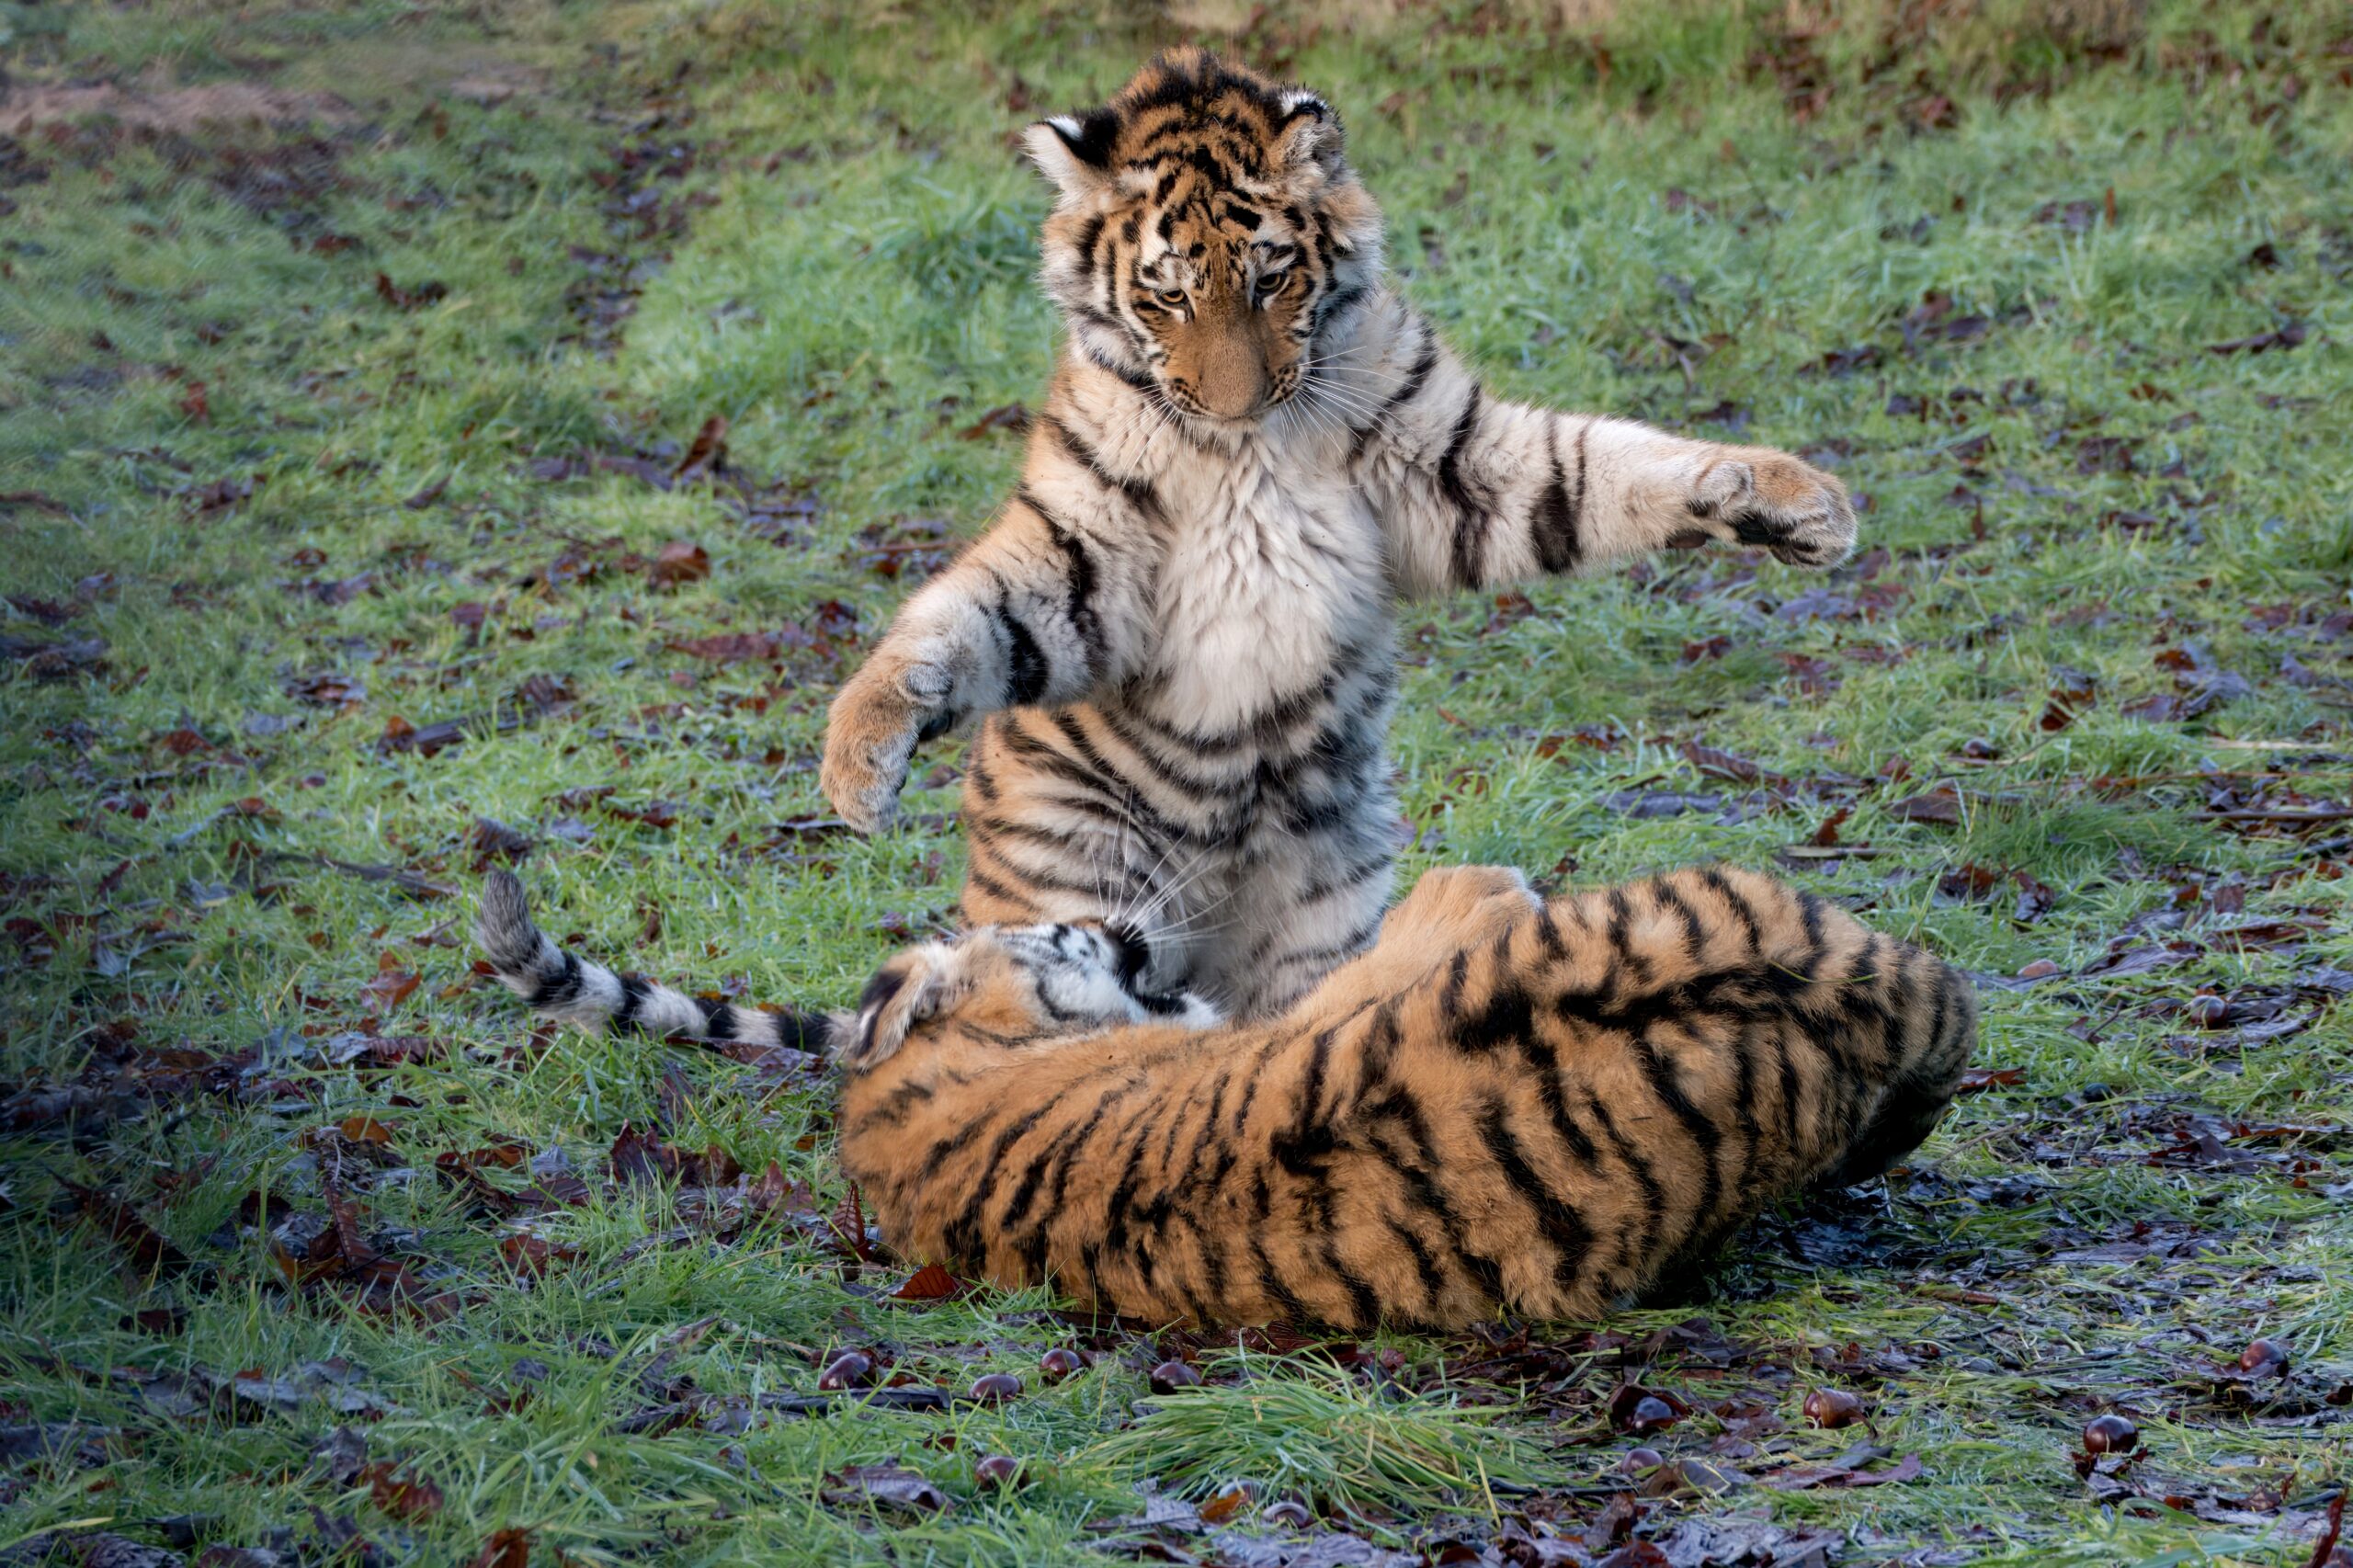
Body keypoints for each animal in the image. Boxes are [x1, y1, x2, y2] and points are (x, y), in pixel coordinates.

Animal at [818, 48, 1860, 1020]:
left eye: (1271, 277)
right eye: (1167, 294)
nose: (1235, 406)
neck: (1246, 449)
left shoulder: (1458, 465)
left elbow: (1605, 465)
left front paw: (1793, 499)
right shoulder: (1086, 553)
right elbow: (969, 618)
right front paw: (859, 763)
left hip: (1321, 904)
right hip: (1075, 880)